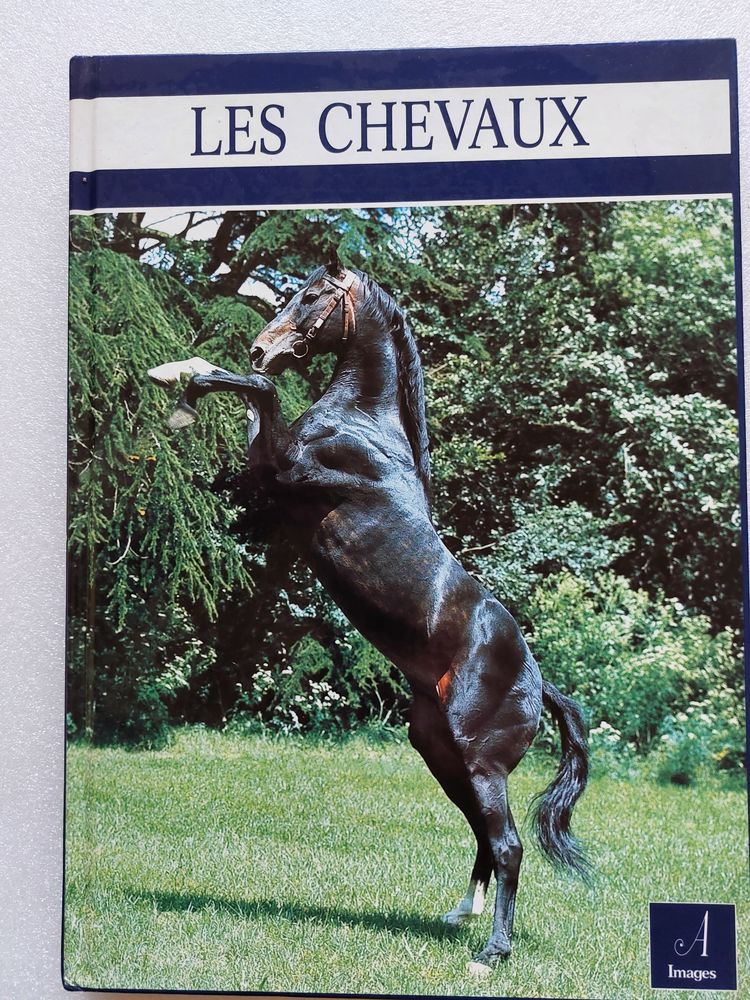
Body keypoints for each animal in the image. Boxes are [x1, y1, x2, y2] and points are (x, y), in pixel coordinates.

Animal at [148, 257, 589, 974]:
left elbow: (260, 391)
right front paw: (176, 376)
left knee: (510, 845)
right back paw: (459, 913)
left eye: (312, 299)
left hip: (480, 761)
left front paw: (188, 395)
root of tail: (537, 680)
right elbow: (246, 392)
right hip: (441, 753)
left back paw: (490, 953)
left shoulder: (284, 469)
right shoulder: (265, 468)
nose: (261, 346)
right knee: (484, 835)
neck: (363, 427)